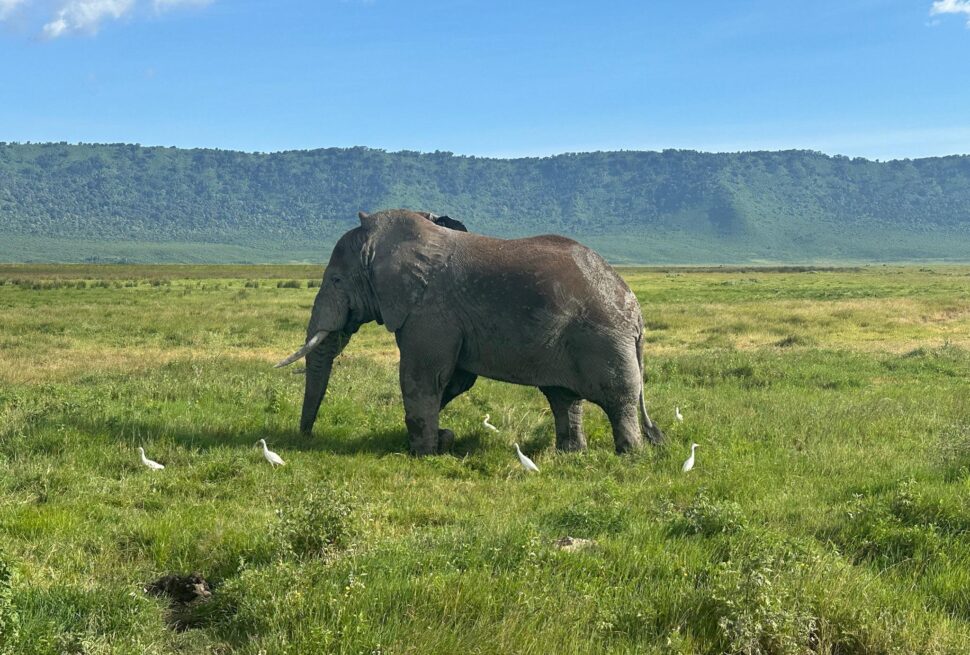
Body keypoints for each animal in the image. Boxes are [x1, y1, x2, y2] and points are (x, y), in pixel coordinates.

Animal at [275, 209, 665, 456]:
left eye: (336, 280)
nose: (305, 437)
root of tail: (635, 310)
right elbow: (454, 381)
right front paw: (441, 439)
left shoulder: (430, 311)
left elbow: (422, 377)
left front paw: (423, 453)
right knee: (563, 398)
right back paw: (570, 455)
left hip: (602, 338)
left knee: (618, 397)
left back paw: (629, 455)